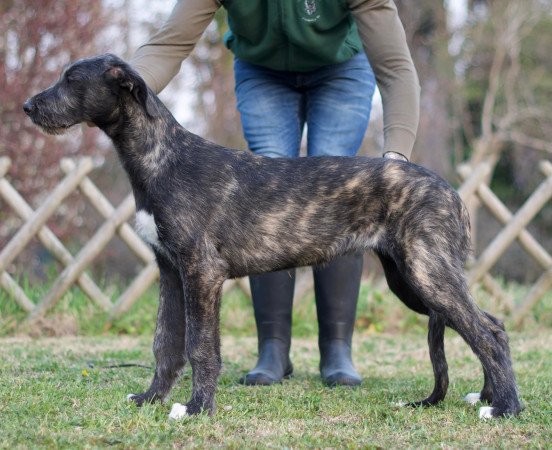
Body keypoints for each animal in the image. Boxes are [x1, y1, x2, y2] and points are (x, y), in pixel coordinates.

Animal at [22, 54, 520, 420]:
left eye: (70, 79)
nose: (28, 107)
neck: (163, 158)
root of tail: (452, 192)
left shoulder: (201, 271)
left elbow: (199, 345)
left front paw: (198, 408)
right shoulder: (169, 269)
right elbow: (165, 342)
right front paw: (151, 399)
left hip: (425, 270)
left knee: (485, 333)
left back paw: (506, 409)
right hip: (411, 277)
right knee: (492, 322)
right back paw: (488, 397)